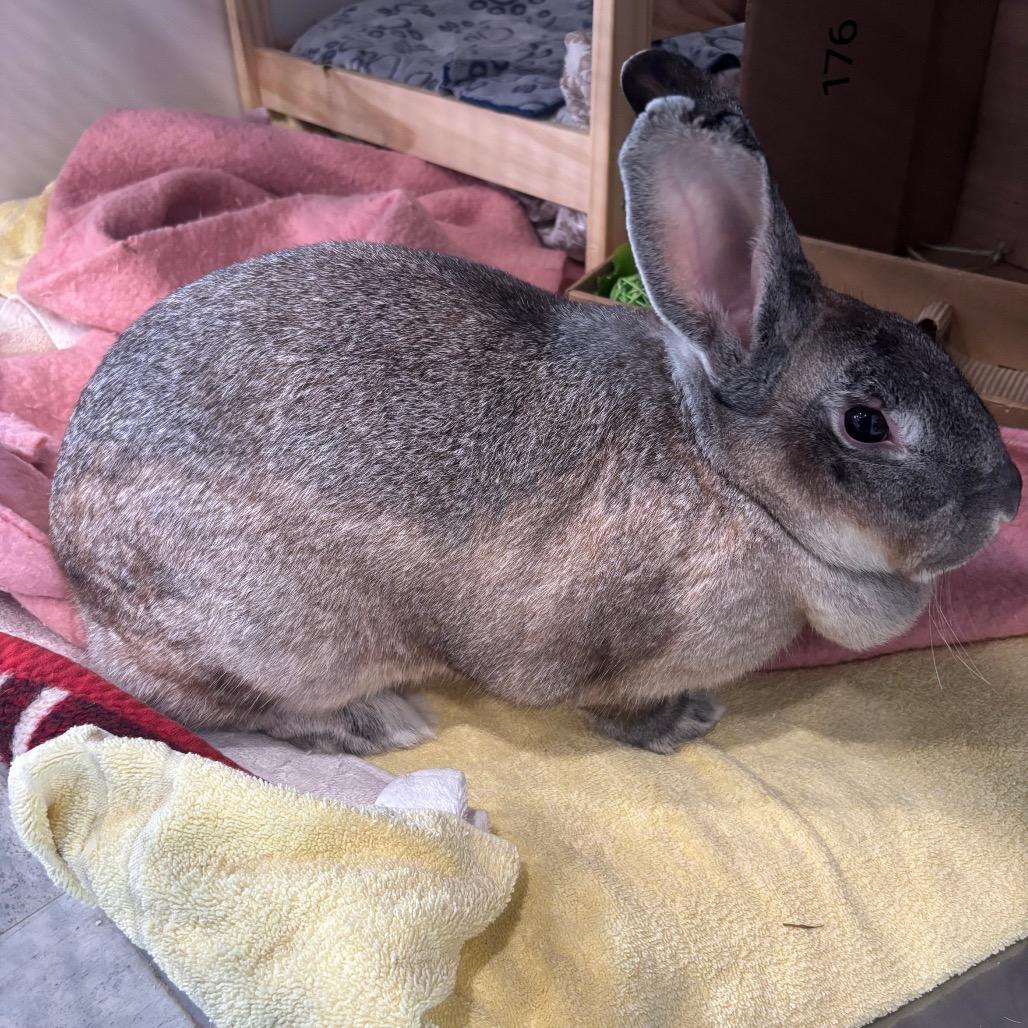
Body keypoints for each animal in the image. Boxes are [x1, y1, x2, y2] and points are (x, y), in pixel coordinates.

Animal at [49, 49, 1021, 755]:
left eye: (932, 341)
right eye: (866, 423)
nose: (1008, 499)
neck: (729, 479)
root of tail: (77, 576)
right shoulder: (616, 653)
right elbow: (618, 709)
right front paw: (685, 724)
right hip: (281, 638)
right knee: (208, 704)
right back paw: (381, 722)